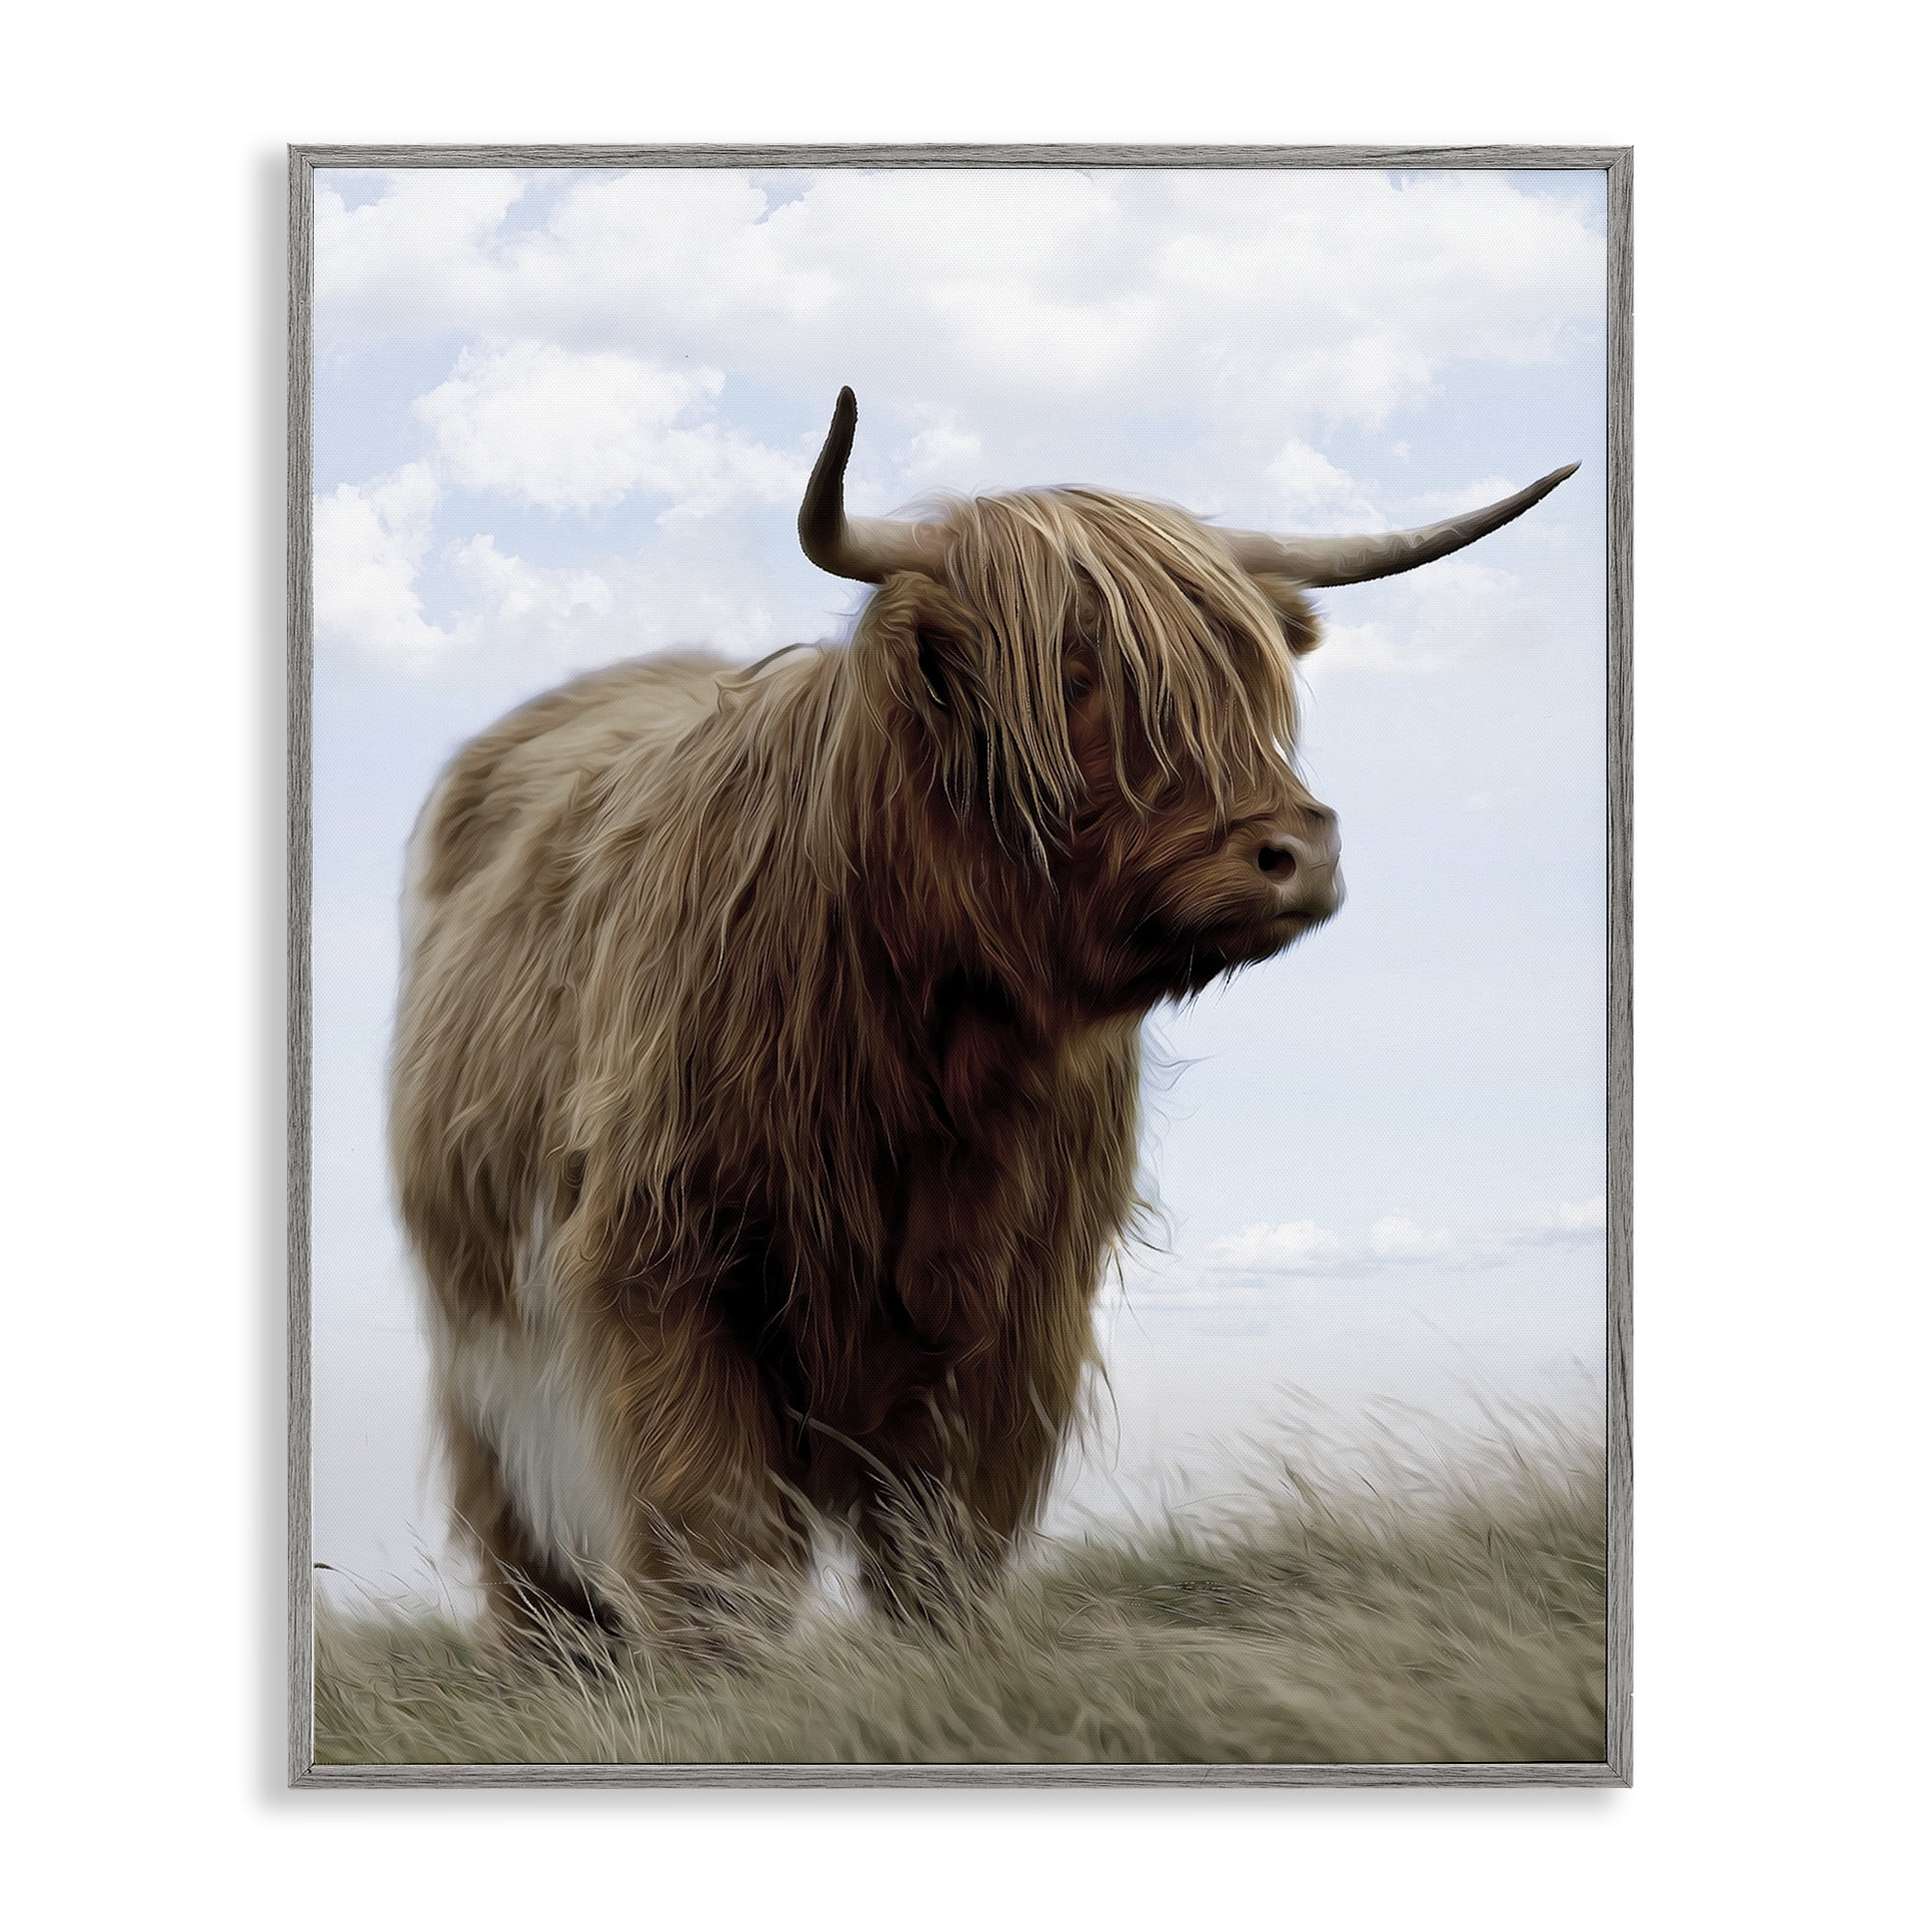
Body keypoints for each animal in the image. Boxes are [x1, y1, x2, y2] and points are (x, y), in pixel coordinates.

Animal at [389, 388, 1574, 1645]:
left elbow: (942, 1539)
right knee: (527, 1549)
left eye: (1247, 681)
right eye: (1072, 671)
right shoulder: (663, 1262)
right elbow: (711, 1535)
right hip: (484, 1345)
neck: (933, 1045)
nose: (1297, 851)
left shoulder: (1019, 1307)